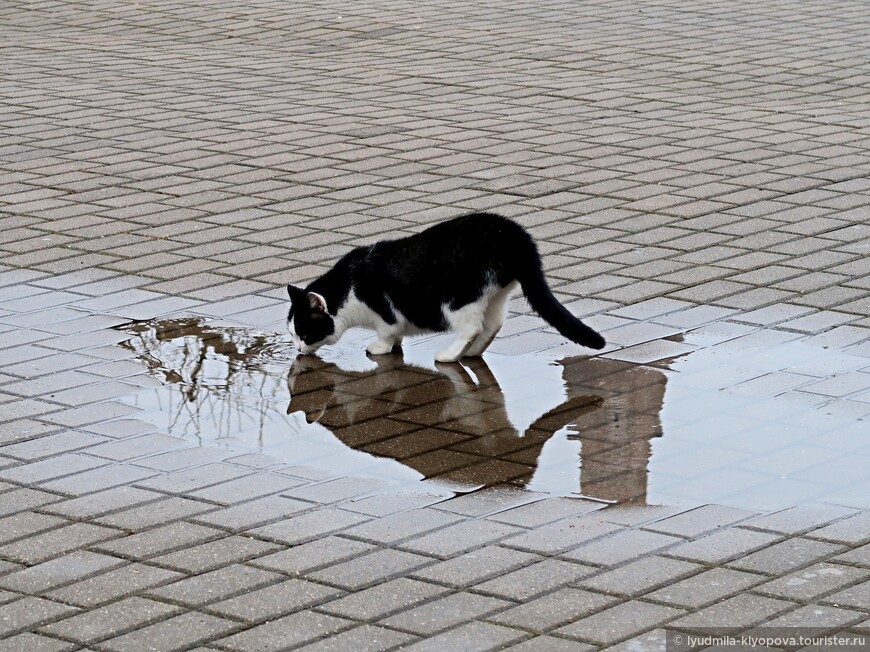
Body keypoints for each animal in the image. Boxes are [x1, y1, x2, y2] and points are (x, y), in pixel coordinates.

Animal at [286, 213, 608, 362]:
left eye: (304, 333)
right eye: (293, 335)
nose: (298, 349)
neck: (348, 289)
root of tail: (515, 236)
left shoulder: (384, 311)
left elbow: (387, 331)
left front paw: (380, 347)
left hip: (458, 298)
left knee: (472, 327)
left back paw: (450, 354)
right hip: (494, 294)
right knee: (492, 325)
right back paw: (471, 353)